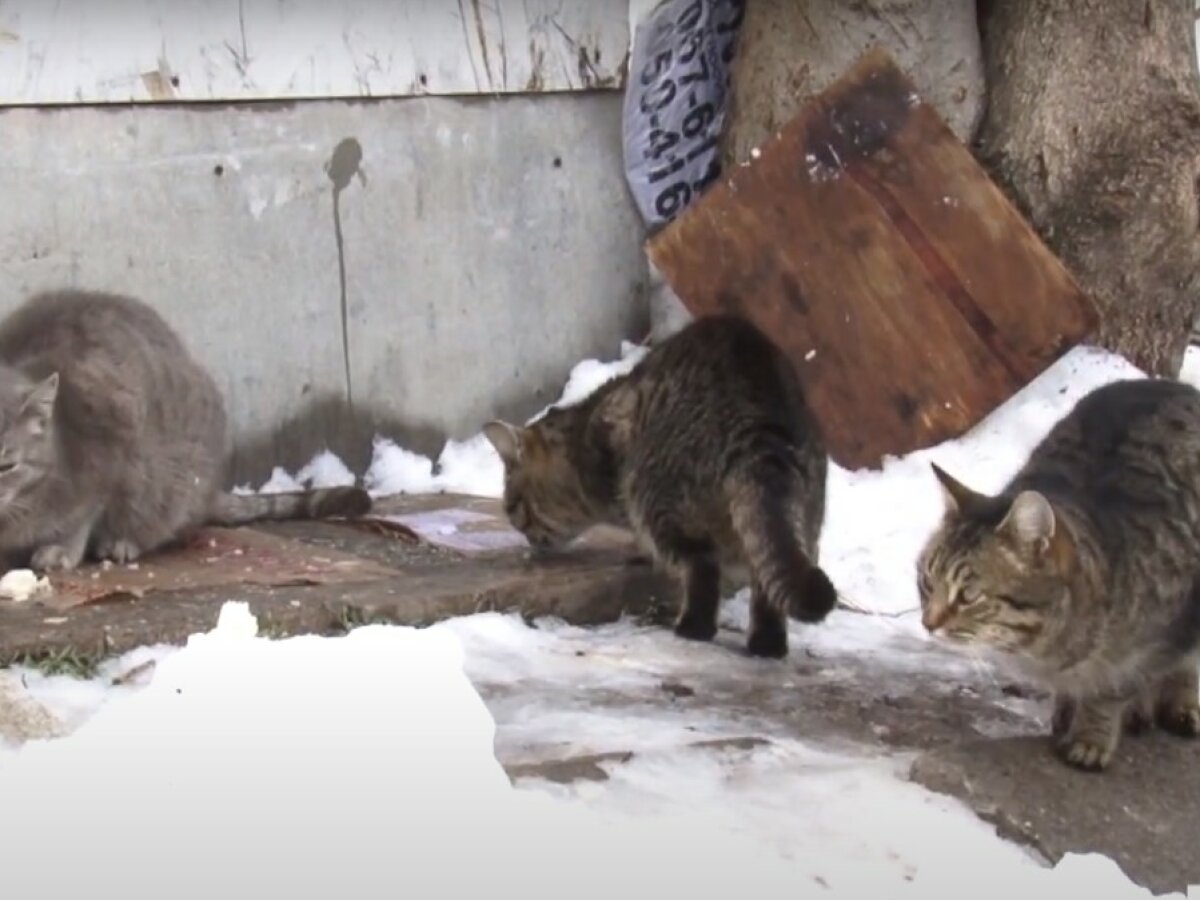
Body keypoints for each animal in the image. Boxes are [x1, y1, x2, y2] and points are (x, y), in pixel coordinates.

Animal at [0, 289, 369, 573]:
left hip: (171, 481)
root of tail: (209, 492)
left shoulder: (114, 455)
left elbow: (82, 517)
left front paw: (61, 549)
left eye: (7, 465)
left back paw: (123, 541)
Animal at [480, 314, 835, 657]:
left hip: (658, 499)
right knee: (766, 582)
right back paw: (766, 645)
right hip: (805, 517)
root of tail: (759, 427)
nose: (526, 537)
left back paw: (692, 628)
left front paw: (639, 550)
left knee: (703, 567)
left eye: (512, 507)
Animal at [916, 376, 1200, 772]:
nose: (927, 623)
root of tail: (1172, 384)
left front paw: (1091, 735)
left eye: (969, 595)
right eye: (927, 582)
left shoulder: (1151, 643)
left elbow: (1111, 689)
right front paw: (1068, 709)